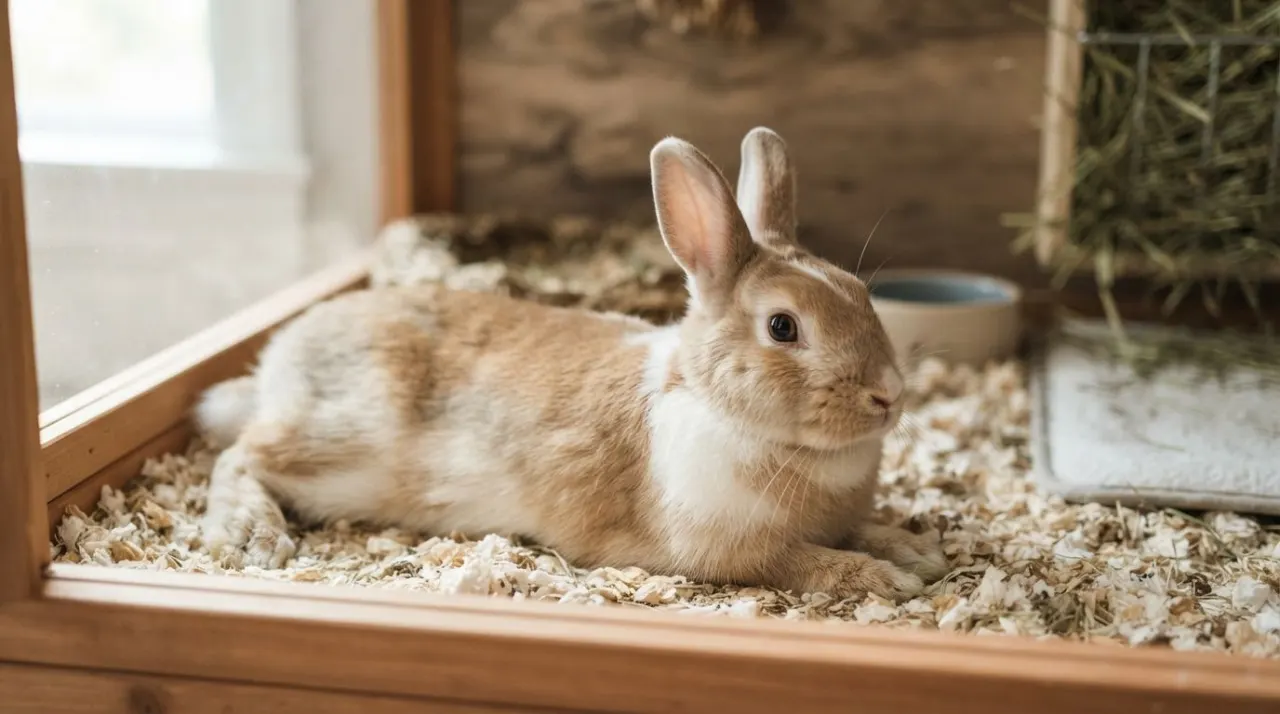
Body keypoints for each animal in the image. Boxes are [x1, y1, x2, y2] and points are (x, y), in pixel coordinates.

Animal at [195, 127, 948, 601]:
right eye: (783, 327)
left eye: (861, 294)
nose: (889, 395)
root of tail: (277, 363)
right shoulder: (733, 547)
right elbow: (810, 562)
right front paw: (887, 580)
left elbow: (862, 529)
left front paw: (916, 549)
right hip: (345, 445)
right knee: (241, 455)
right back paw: (252, 534)